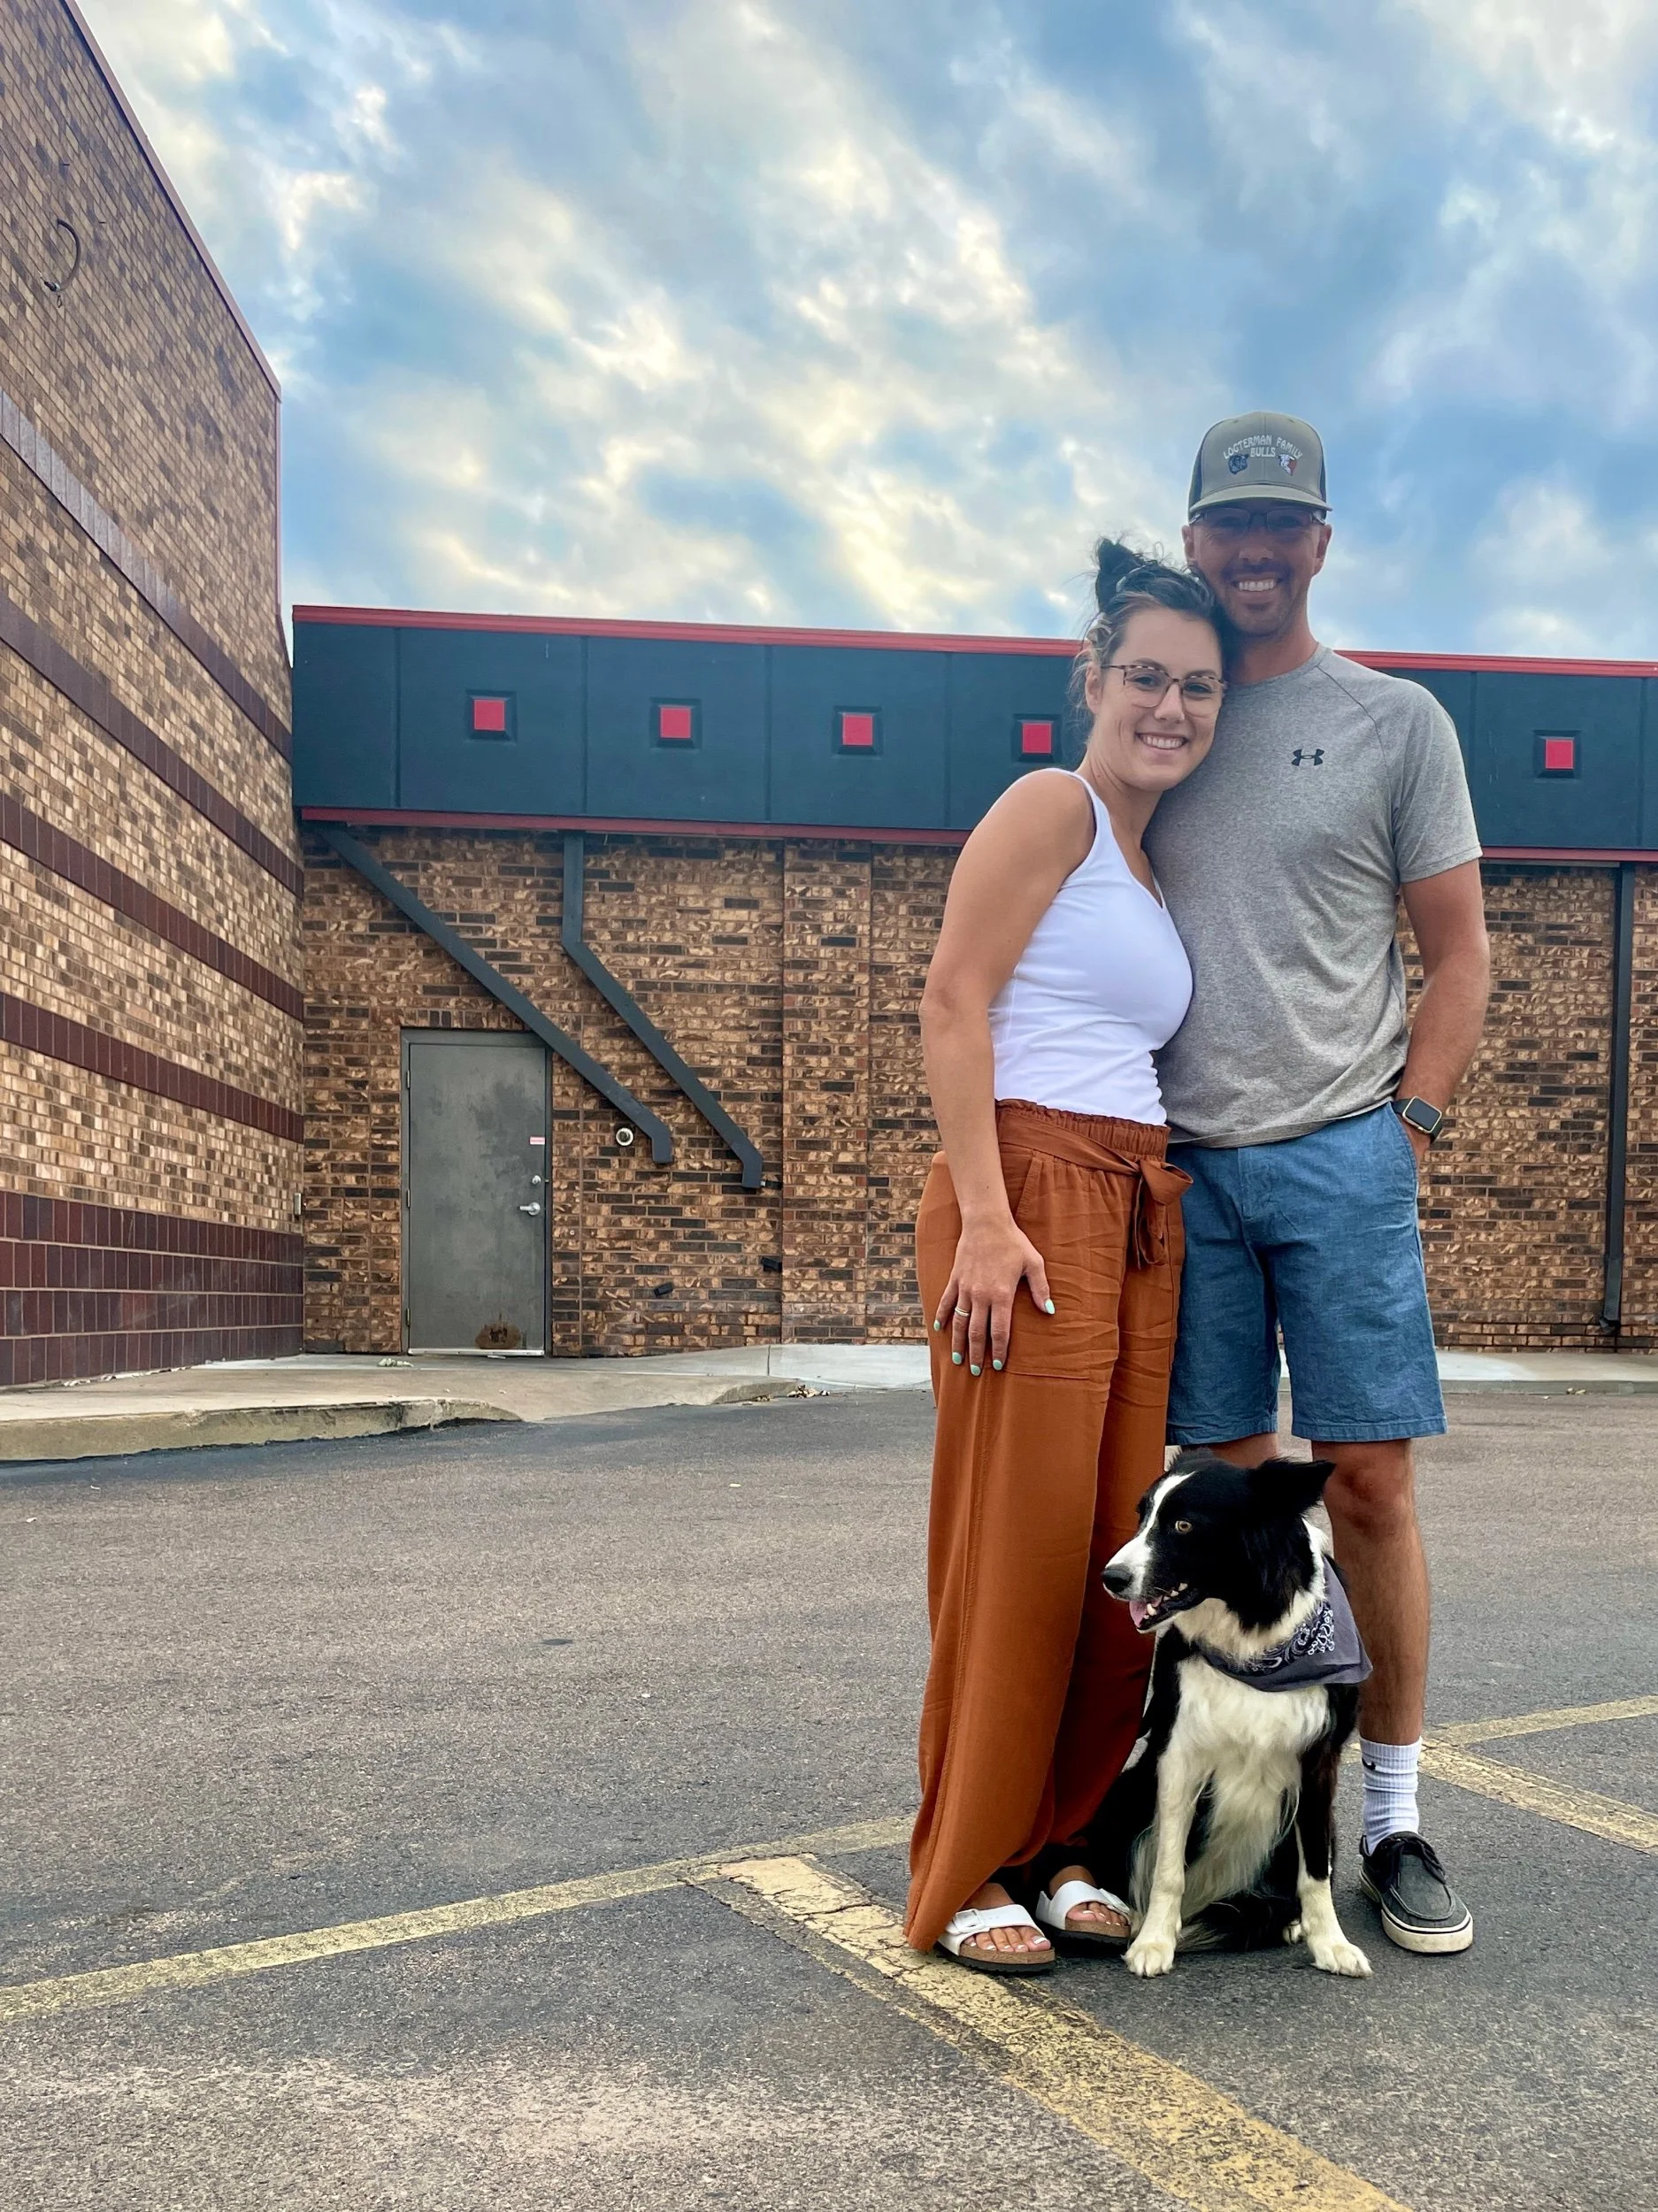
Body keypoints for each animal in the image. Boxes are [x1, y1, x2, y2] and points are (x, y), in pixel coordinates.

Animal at [1092, 1448, 1373, 1980]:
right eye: (1143, 1516)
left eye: (1183, 1525)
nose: (1111, 1579)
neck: (1252, 1636)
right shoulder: (1177, 1753)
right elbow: (1168, 1867)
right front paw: (1154, 1941)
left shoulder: (1319, 1760)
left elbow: (1316, 1872)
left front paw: (1332, 1944)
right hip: (1127, 1790)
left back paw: (1288, 1922)